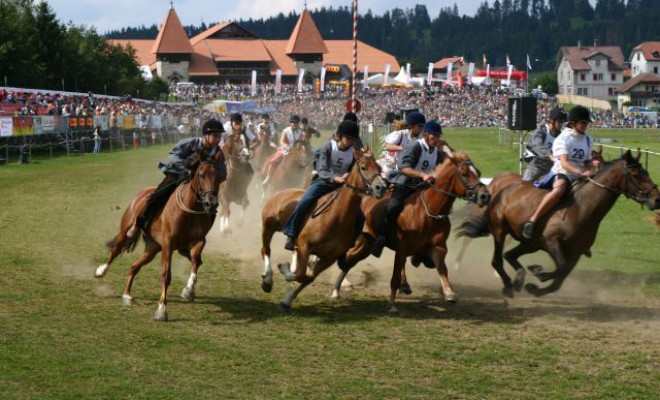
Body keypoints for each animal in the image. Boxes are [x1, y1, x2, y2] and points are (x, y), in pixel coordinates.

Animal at [94, 150, 226, 322]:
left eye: (219, 177)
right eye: (201, 175)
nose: (211, 204)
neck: (189, 210)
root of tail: (141, 194)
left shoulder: (198, 241)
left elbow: (196, 261)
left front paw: (189, 290)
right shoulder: (168, 246)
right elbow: (166, 276)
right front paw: (162, 310)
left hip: (152, 248)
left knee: (134, 266)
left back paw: (127, 295)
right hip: (126, 232)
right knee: (116, 250)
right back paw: (101, 271)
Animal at [260, 150, 390, 310]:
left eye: (379, 168)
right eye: (364, 167)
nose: (381, 188)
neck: (336, 216)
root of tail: (281, 193)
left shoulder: (329, 257)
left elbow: (308, 277)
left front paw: (287, 299)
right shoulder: (305, 245)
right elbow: (300, 273)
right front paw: (284, 269)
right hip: (268, 226)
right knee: (266, 250)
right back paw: (267, 280)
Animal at [330, 152, 490, 310]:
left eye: (478, 173)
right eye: (464, 174)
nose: (485, 196)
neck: (430, 210)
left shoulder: (438, 248)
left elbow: (442, 269)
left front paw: (449, 293)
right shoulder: (401, 250)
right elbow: (395, 278)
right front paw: (392, 305)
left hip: (367, 244)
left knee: (350, 260)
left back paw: (337, 289)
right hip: (360, 240)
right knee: (348, 257)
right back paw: (338, 288)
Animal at [458, 150, 660, 296]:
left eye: (647, 172)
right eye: (635, 174)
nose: (656, 199)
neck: (581, 208)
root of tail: (502, 187)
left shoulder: (575, 253)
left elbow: (560, 277)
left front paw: (536, 286)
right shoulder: (551, 242)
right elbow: (560, 268)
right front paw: (538, 273)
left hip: (530, 244)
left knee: (509, 255)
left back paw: (519, 279)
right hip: (501, 231)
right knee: (497, 259)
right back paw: (507, 283)